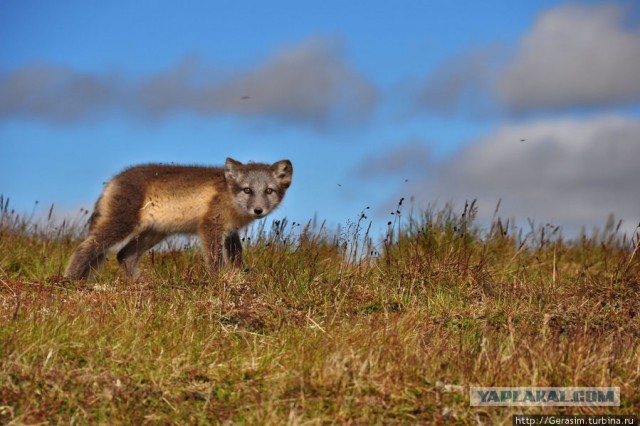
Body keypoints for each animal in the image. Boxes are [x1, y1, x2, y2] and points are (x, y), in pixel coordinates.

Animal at [62, 157, 292, 280]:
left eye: (269, 191)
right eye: (247, 190)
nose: (258, 210)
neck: (228, 194)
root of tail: (113, 180)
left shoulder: (230, 231)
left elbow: (237, 256)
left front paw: (239, 276)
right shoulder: (210, 226)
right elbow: (215, 259)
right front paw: (221, 279)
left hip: (154, 233)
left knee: (124, 256)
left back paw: (141, 283)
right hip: (123, 224)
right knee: (86, 247)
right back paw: (70, 280)